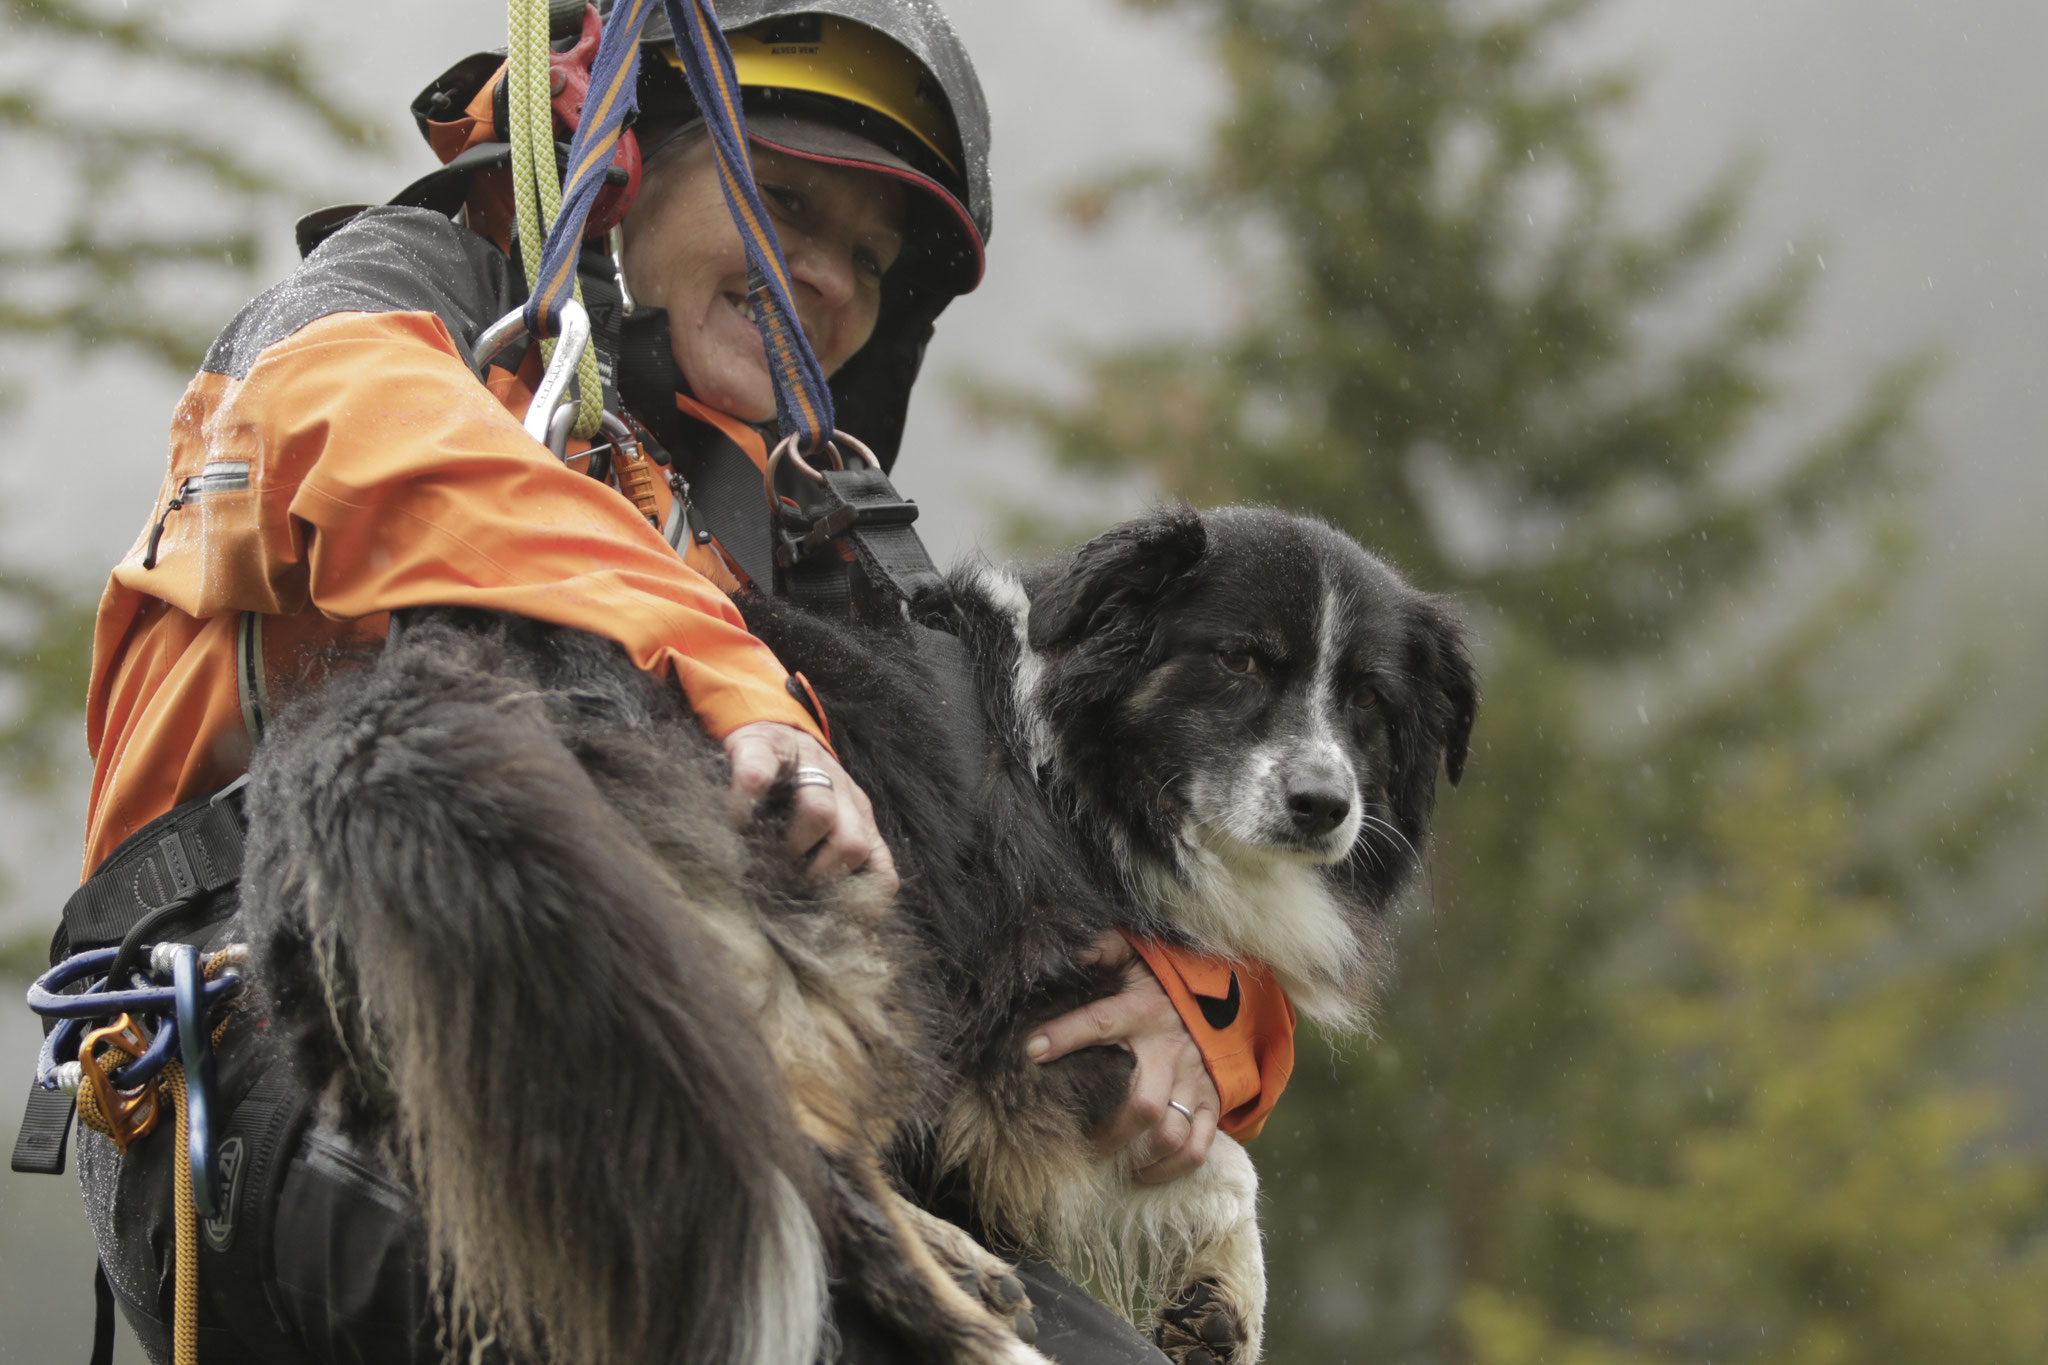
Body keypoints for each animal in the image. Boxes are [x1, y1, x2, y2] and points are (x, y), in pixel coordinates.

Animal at [239, 505, 1474, 1365]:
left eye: (1367, 702)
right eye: (1239, 661)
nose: (1323, 805)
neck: (1067, 757)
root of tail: (392, 718)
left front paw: (1215, 1309)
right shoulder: (1035, 1020)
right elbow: (1223, 1162)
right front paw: (1221, 1290)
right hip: (809, 922)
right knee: (804, 1179)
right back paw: (987, 1331)